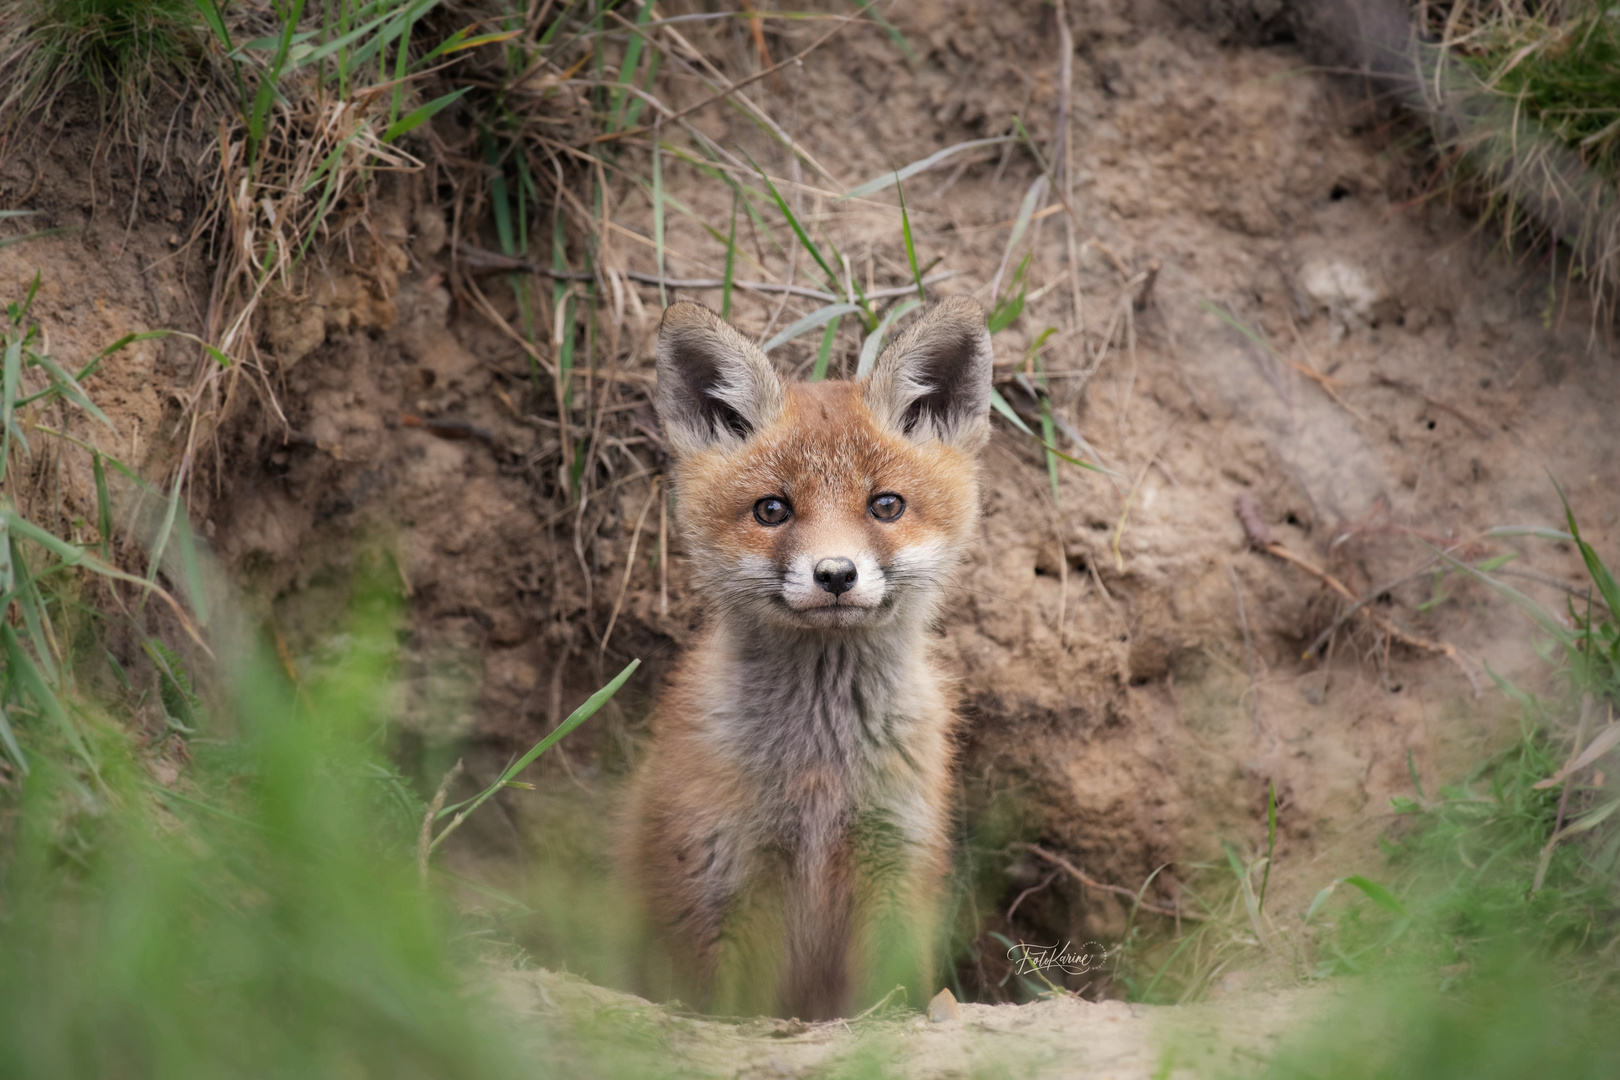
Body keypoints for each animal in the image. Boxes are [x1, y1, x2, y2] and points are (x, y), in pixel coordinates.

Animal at [618, 297, 991, 1023]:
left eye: (886, 505)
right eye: (772, 509)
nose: (836, 574)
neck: (821, 777)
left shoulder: (893, 858)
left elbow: (891, 998)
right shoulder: (729, 873)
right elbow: (732, 1009)